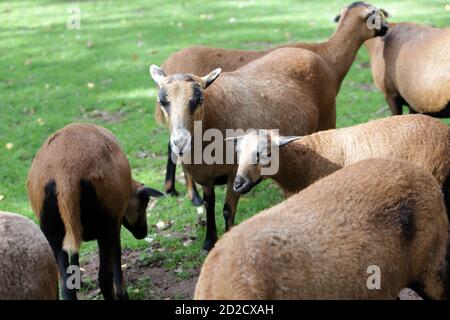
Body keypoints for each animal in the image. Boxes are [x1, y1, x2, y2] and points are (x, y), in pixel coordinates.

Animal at [26, 123, 163, 300]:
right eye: (144, 202)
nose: (143, 233)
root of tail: (65, 175)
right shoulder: (115, 226)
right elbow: (117, 262)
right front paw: (123, 294)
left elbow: (74, 258)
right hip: (105, 228)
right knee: (104, 279)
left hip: (53, 233)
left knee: (66, 286)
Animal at [151, 45, 338, 251]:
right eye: (162, 102)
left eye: (198, 100)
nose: (180, 141)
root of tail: (306, 52)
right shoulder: (206, 177)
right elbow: (209, 205)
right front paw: (209, 241)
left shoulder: (236, 172)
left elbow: (227, 210)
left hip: (329, 118)